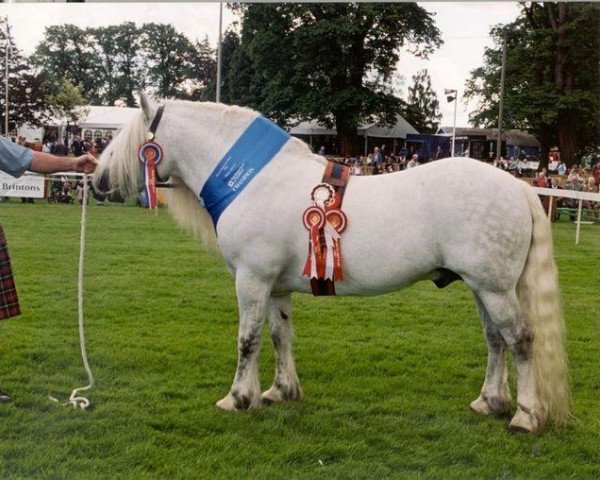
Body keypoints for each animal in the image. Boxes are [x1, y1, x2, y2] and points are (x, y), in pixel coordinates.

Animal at [96, 94, 568, 436]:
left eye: (131, 138)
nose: (98, 181)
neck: (252, 180)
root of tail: (518, 187)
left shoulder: (251, 280)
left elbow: (248, 340)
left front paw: (238, 398)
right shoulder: (275, 286)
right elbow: (280, 335)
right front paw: (280, 391)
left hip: (494, 289)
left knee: (521, 341)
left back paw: (524, 416)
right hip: (482, 287)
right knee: (495, 341)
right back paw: (489, 402)